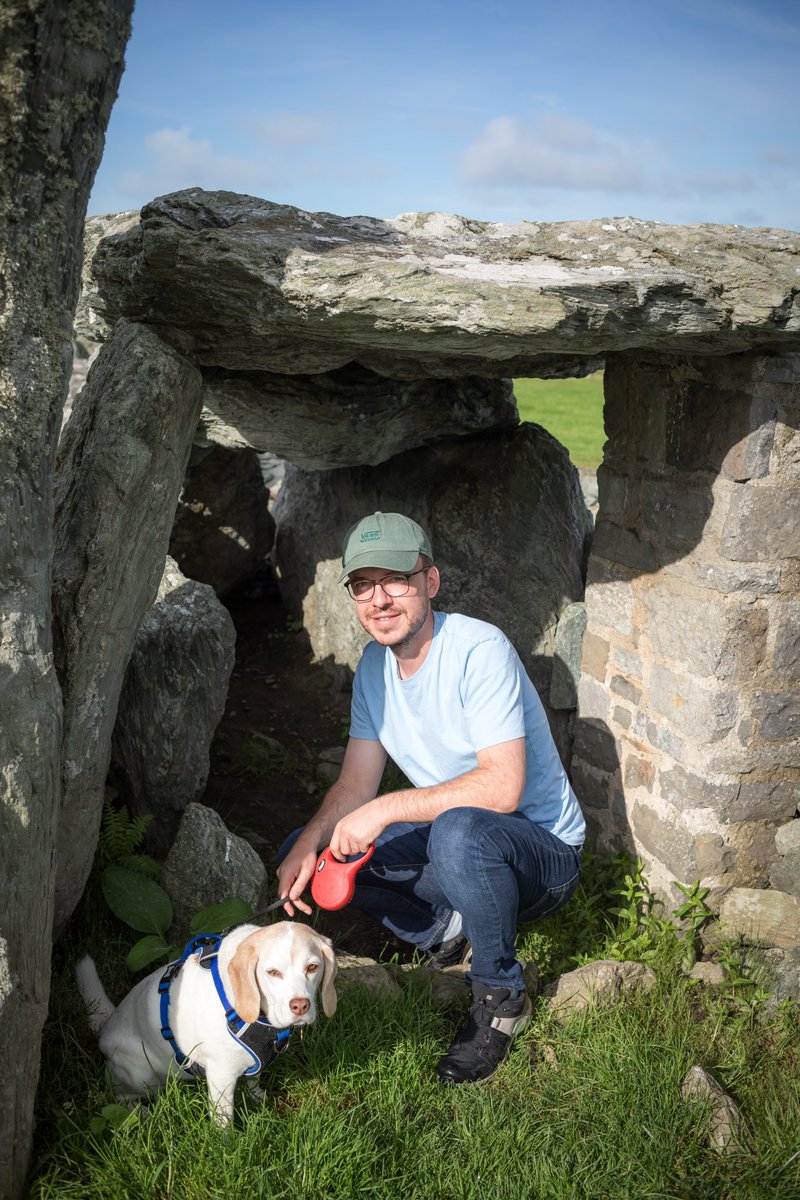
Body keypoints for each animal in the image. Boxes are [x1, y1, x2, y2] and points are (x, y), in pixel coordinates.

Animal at [76, 916, 335, 1123]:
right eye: (272, 972)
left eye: (312, 967)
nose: (300, 1005)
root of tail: (107, 1025)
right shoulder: (221, 1077)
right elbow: (223, 1123)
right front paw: (227, 1149)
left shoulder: (256, 1059)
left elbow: (254, 1080)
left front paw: (256, 1096)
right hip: (140, 1076)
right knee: (120, 1096)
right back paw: (141, 1112)